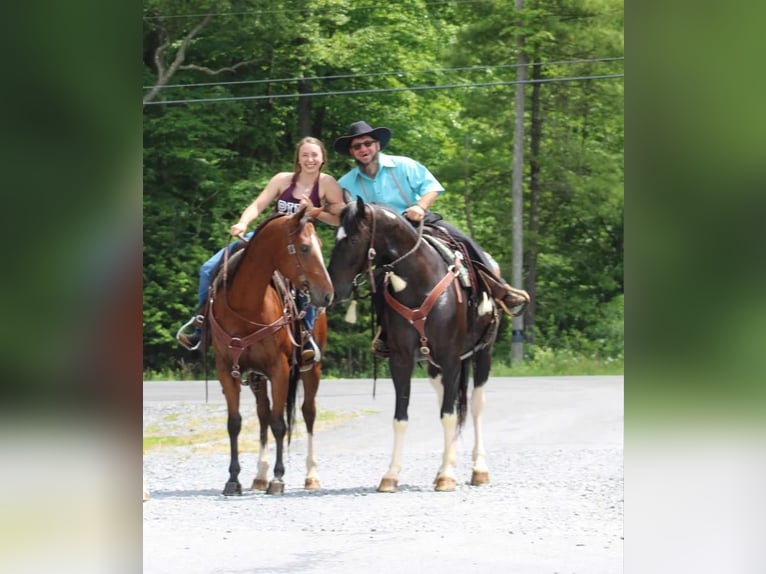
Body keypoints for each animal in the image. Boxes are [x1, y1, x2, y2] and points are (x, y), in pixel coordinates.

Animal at [206, 207, 334, 500]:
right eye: (305, 247)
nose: (327, 294)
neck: (245, 306)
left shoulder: (280, 370)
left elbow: (279, 423)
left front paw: (278, 479)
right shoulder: (226, 370)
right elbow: (235, 422)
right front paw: (233, 480)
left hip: (311, 370)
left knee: (307, 412)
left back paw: (311, 475)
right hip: (256, 377)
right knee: (263, 413)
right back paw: (259, 476)